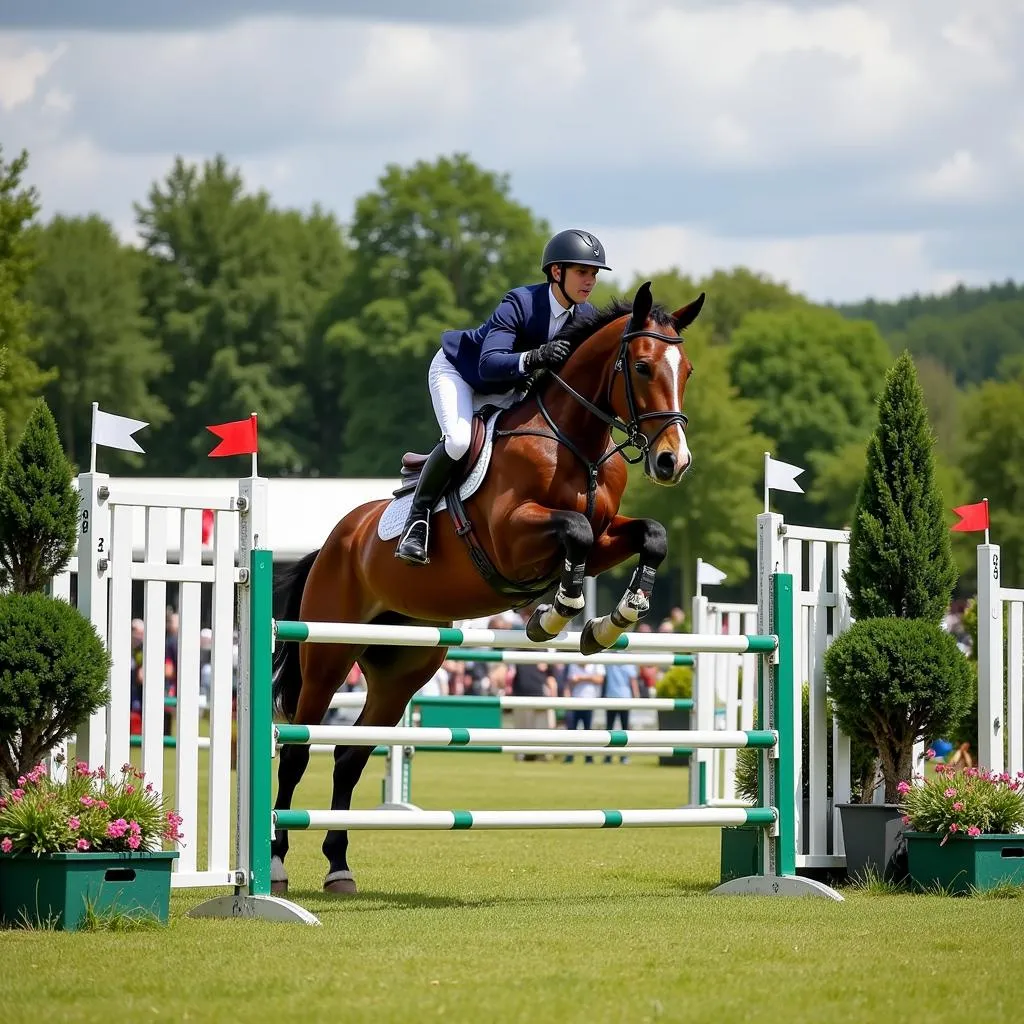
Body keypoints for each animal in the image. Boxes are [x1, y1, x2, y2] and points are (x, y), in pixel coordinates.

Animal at [268, 280, 708, 897]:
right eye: (642, 366)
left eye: (685, 369)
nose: (674, 461)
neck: (575, 440)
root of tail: (335, 541)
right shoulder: (514, 537)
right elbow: (571, 531)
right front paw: (555, 613)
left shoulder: (604, 539)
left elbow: (651, 535)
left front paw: (612, 619)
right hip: (328, 650)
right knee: (299, 748)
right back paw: (278, 866)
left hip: (402, 669)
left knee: (351, 756)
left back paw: (339, 867)